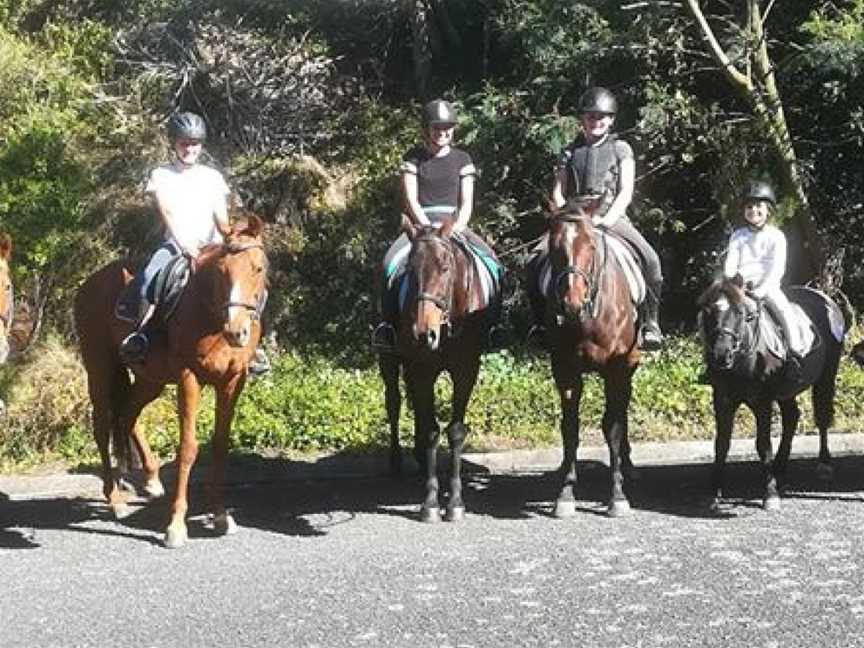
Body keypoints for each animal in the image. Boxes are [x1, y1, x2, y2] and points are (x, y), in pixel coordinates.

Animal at [74, 216, 266, 548]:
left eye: (258, 268)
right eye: (221, 271)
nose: (236, 331)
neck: (211, 318)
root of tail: (87, 284)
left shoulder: (231, 382)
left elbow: (220, 445)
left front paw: (220, 514)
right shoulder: (189, 379)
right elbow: (188, 448)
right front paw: (176, 526)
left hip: (150, 379)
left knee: (127, 414)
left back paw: (150, 479)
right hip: (99, 367)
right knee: (102, 425)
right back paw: (115, 500)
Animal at [382, 218, 496, 520]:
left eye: (445, 267)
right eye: (410, 270)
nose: (424, 334)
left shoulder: (466, 371)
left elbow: (455, 431)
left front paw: (455, 502)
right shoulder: (422, 368)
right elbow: (433, 430)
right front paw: (431, 502)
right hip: (389, 357)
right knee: (394, 402)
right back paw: (396, 461)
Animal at [544, 208, 636, 516]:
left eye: (592, 247)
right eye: (553, 247)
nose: (571, 304)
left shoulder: (617, 370)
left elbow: (613, 428)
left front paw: (618, 495)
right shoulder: (565, 372)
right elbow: (570, 429)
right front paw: (565, 492)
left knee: (622, 412)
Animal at [696, 274, 844, 512]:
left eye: (741, 314)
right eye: (708, 311)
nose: (721, 355)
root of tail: (826, 299)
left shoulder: (762, 401)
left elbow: (763, 445)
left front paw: (770, 494)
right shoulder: (722, 400)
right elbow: (721, 444)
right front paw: (714, 492)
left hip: (826, 377)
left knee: (822, 417)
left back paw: (824, 464)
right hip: (786, 391)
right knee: (792, 416)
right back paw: (780, 466)